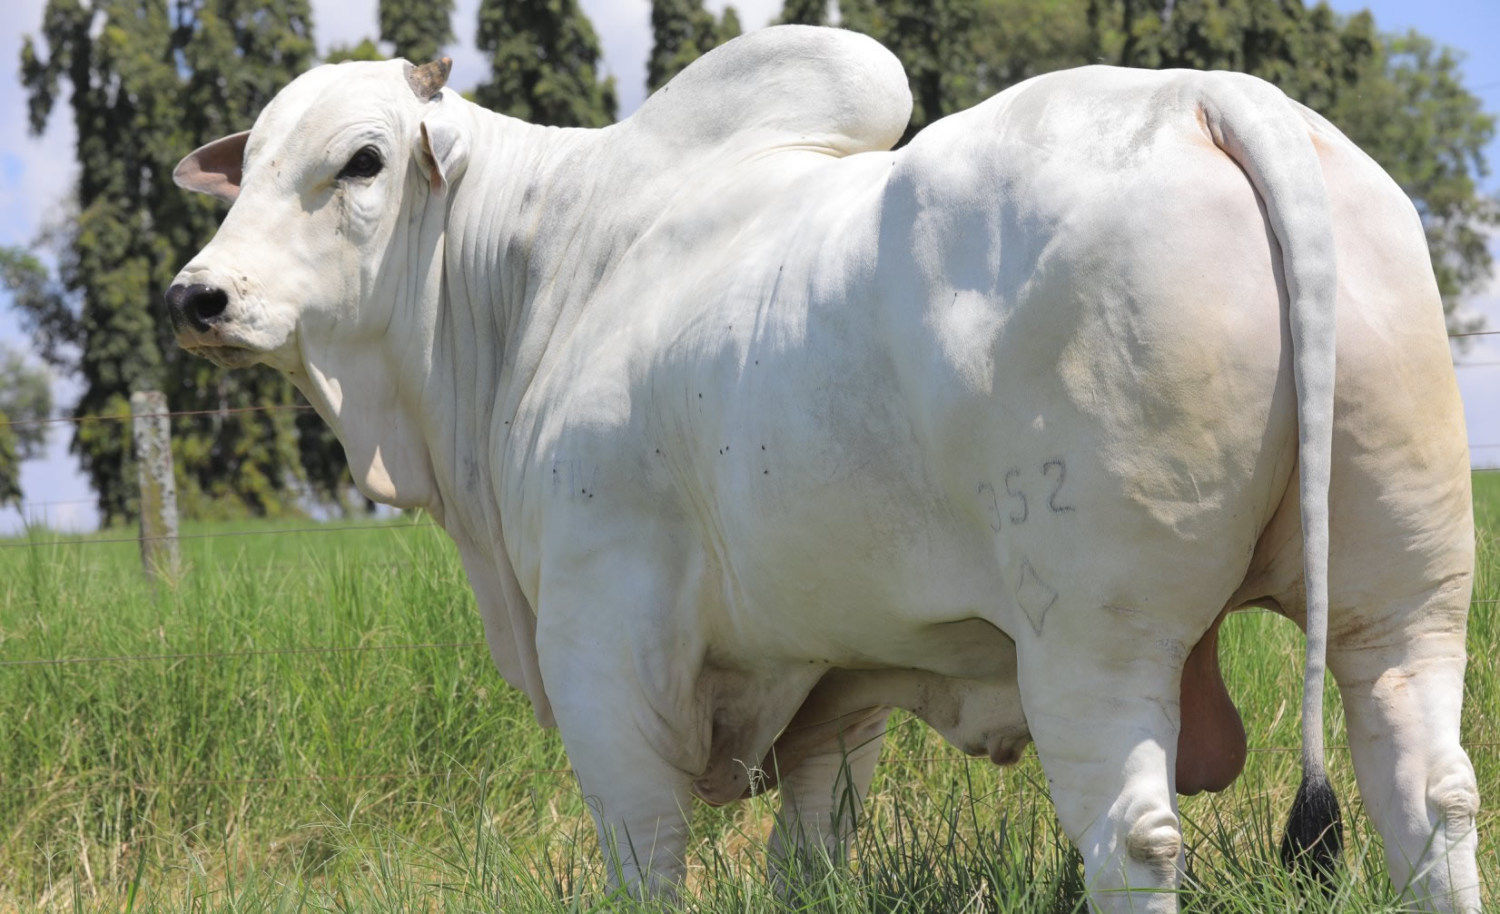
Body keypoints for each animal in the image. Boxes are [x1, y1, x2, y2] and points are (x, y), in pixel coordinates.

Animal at [164, 26, 1476, 912]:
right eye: (253, 161)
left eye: (362, 160)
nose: (199, 296)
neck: (538, 274)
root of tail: (1214, 95)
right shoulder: (833, 689)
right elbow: (810, 852)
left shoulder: (601, 650)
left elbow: (645, 855)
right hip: (1406, 601)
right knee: (1432, 795)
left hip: (1098, 634)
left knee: (1135, 835)